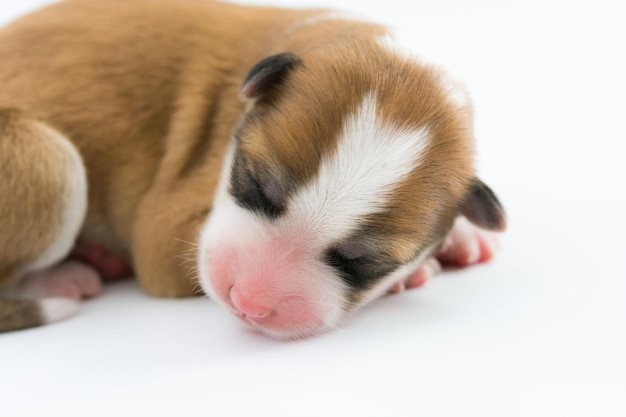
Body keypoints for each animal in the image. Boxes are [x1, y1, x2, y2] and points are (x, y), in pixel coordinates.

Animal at [0, 0, 502, 338]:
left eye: (360, 262)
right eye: (256, 184)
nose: (246, 304)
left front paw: (461, 237)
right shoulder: (164, 237)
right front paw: (417, 273)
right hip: (48, 162)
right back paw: (68, 275)